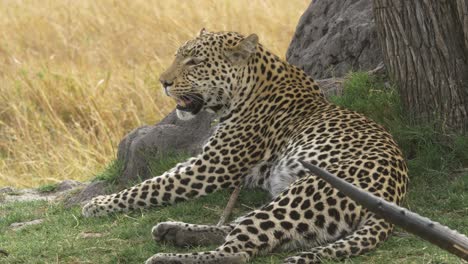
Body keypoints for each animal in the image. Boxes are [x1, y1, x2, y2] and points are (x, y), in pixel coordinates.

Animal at [82, 29, 408, 262]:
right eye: (178, 57)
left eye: (195, 62)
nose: (163, 82)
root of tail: (392, 198)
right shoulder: (205, 160)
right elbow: (159, 178)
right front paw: (102, 201)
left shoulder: (212, 167)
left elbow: (150, 187)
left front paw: (97, 204)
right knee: (240, 229)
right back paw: (173, 231)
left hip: (307, 191)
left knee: (237, 251)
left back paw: (166, 257)